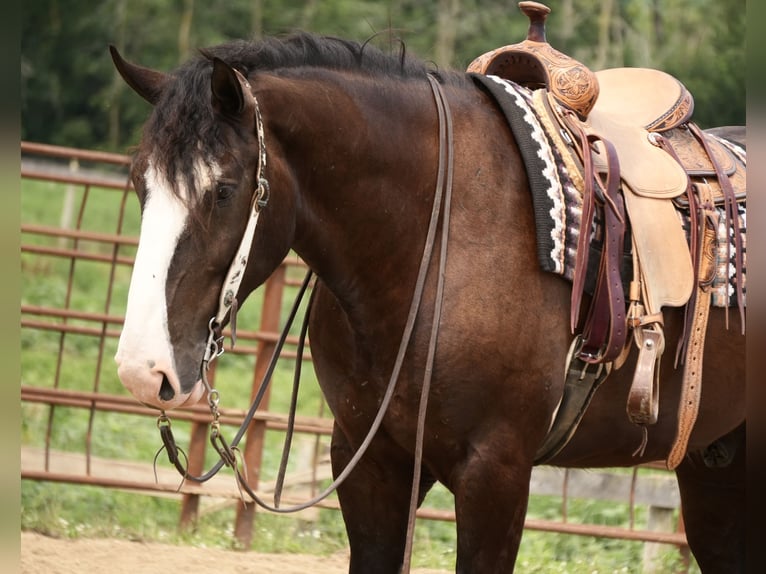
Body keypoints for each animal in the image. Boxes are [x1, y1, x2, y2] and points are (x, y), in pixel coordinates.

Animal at [110, 33, 746, 573]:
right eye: (140, 183)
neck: (437, 242)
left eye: (221, 190)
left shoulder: (496, 473)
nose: (144, 370)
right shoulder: (369, 462)